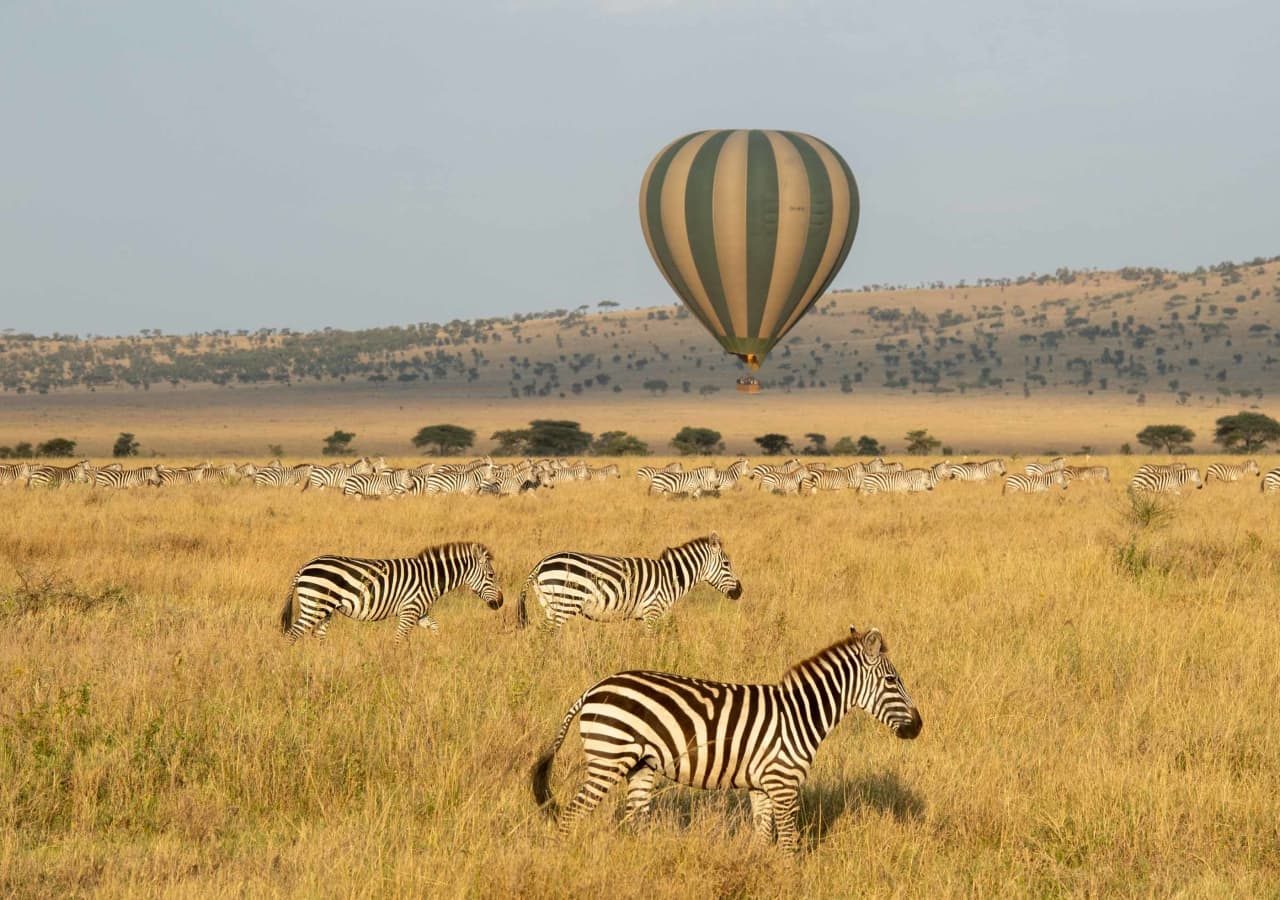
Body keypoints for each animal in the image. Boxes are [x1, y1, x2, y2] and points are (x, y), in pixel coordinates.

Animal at [280, 542, 504, 640]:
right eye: (491, 575)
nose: (500, 603)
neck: (430, 578)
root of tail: (305, 566)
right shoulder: (409, 610)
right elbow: (399, 639)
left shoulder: (420, 612)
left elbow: (435, 627)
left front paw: (438, 648)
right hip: (314, 607)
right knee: (293, 634)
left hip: (324, 609)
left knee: (318, 635)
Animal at [517, 535, 747, 634]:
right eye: (727, 564)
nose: (740, 591)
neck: (671, 577)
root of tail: (541, 564)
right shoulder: (652, 612)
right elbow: (652, 642)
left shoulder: (644, 616)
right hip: (565, 604)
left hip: (550, 605)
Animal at [529, 627, 921, 850]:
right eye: (892, 681)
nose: (918, 727)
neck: (800, 715)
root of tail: (593, 689)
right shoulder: (783, 783)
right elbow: (789, 843)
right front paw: (789, 880)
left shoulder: (762, 785)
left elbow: (763, 839)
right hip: (609, 757)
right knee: (572, 815)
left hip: (640, 765)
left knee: (634, 820)